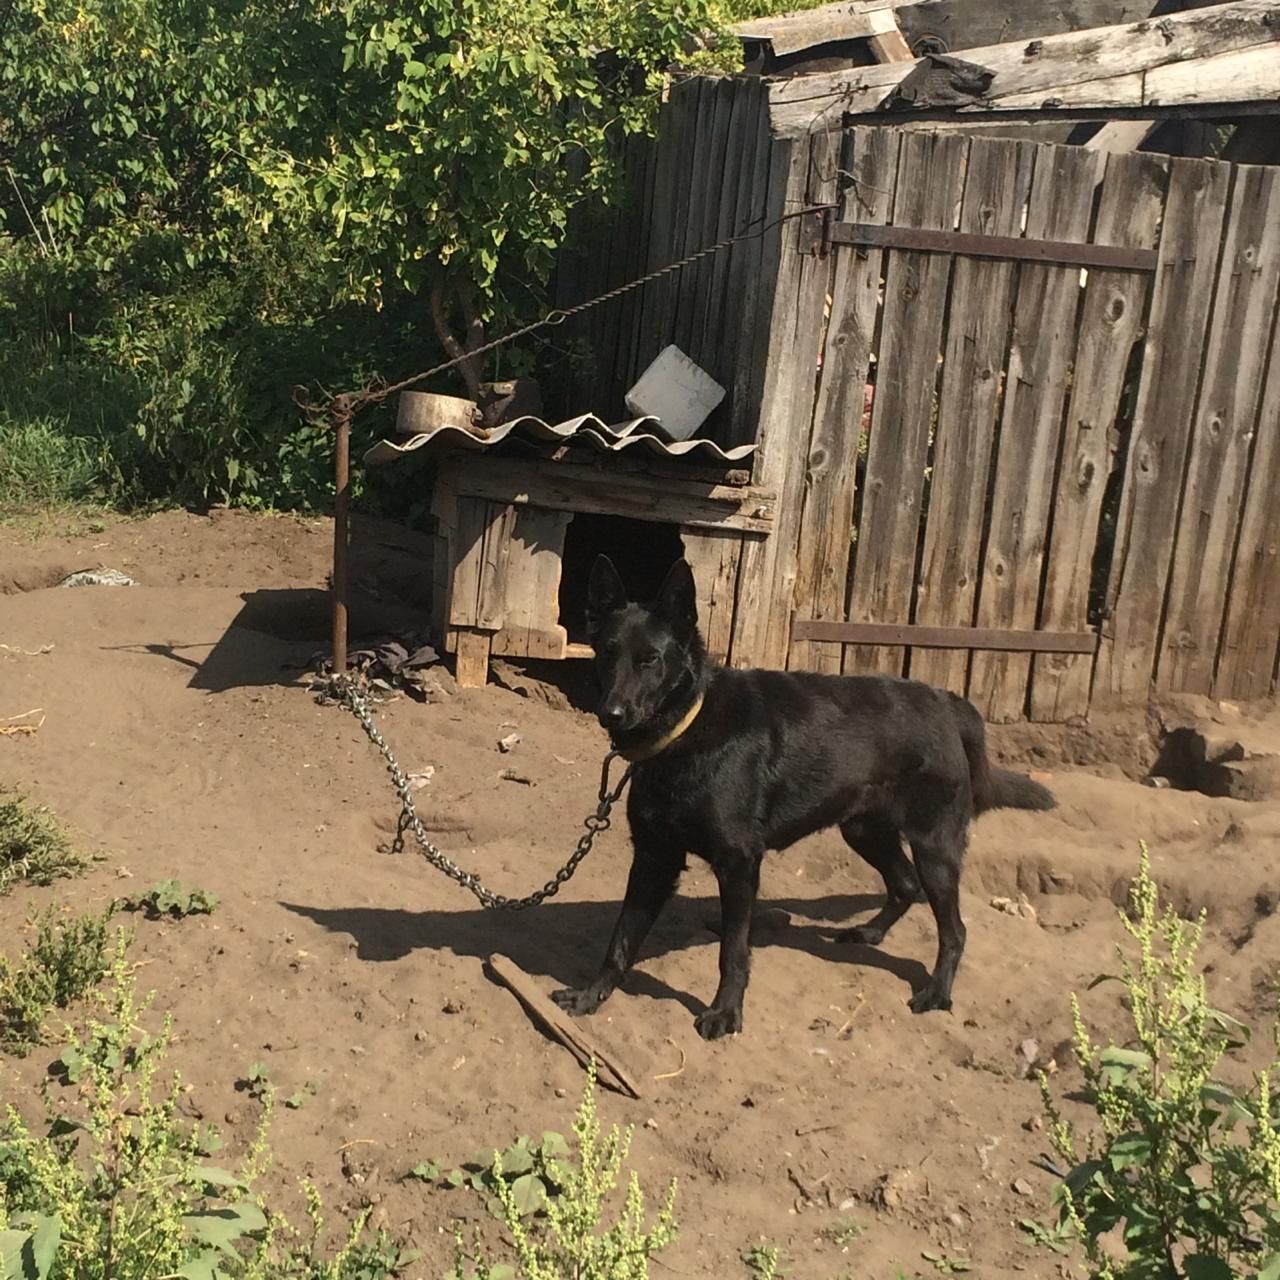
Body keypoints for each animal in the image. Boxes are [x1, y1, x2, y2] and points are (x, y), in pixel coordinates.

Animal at [547, 555, 1049, 1034]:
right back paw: (868, 935)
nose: (611, 714)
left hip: (935, 848)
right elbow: (620, 941)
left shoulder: (738, 864)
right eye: (607, 653)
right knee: (905, 884)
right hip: (863, 829)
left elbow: (732, 952)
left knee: (955, 930)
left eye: (650, 659)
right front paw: (591, 997)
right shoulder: (655, 859)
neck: (687, 729)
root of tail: (950, 701)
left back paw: (937, 993)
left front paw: (725, 1014)